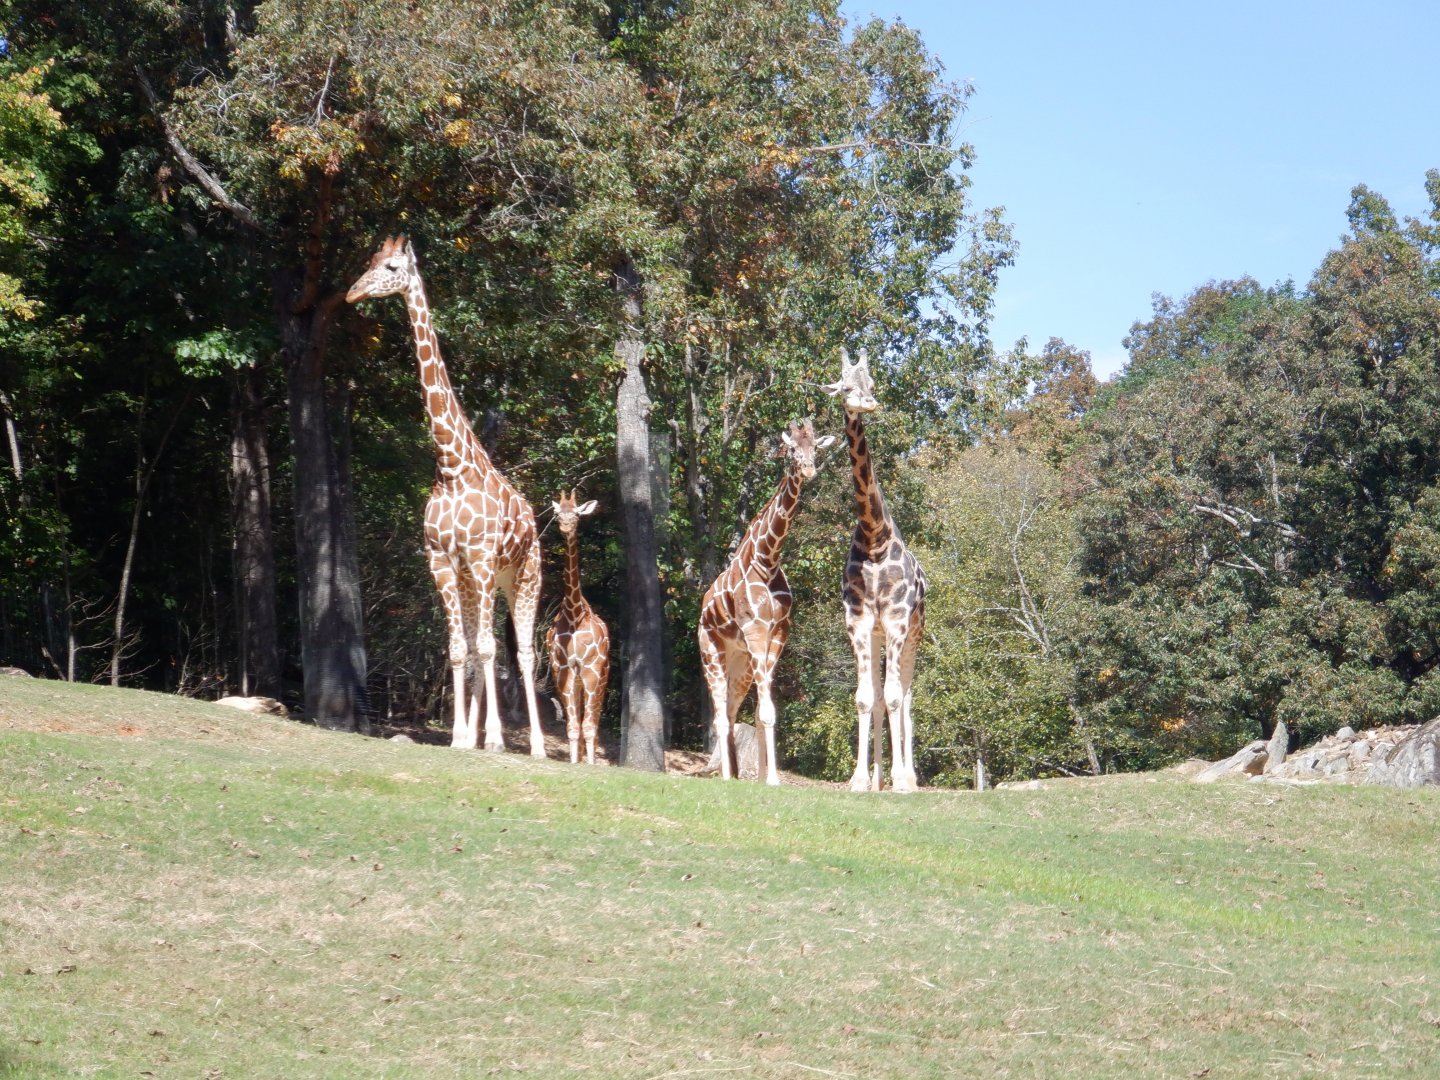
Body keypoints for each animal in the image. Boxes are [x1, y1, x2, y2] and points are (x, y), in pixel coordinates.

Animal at [346, 236, 546, 756]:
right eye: (370, 262)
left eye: (392, 268)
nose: (353, 293)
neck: (452, 466)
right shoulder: (442, 560)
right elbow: (461, 650)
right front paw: (460, 737)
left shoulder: (479, 557)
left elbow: (491, 650)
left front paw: (494, 739)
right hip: (480, 582)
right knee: (480, 647)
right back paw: (474, 735)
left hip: (523, 576)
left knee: (525, 652)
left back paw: (535, 745)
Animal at [698, 418, 836, 785]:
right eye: (792, 449)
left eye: (816, 447)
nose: (808, 469)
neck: (768, 558)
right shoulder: (756, 630)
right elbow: (768, 712)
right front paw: (771, 779)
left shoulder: (778, 634)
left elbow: (764, 711)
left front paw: (766, 779)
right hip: (711, 652)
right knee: (719, 713)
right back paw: (726, 777)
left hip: (741, 661)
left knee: (732, 710)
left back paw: (735, 774)